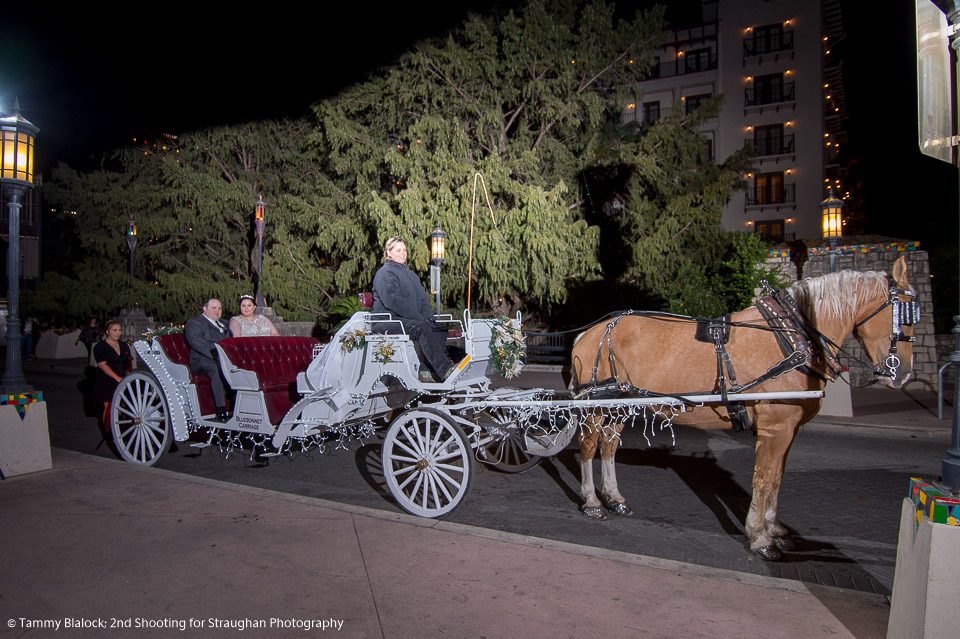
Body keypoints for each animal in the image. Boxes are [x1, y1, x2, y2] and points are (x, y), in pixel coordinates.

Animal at [568, 256, 916, 560]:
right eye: (905, 312)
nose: (903, 374)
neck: (792, 337)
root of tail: (591, 331)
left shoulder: (788, 430)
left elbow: (777, 478)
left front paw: (775, 529)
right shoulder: (776, 427)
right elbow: (763, 478)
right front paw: (761, 537)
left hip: (620, 404)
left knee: (609, 445)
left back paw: (614, 498)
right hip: (595, 407)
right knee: (589, 446)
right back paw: (592, 501)